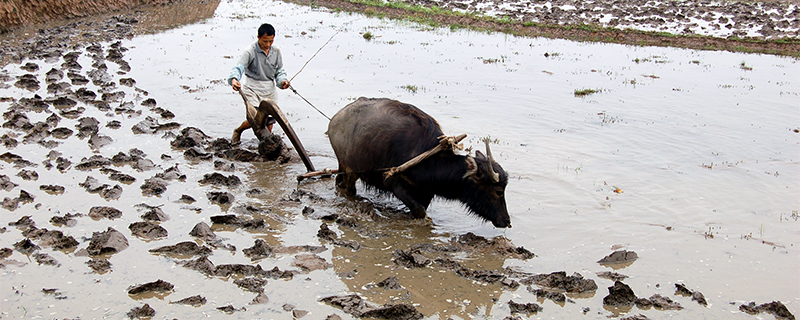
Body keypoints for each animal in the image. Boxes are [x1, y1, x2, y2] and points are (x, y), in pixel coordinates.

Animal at [326, 97, 510, 228]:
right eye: (498, 191)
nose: (507, 221)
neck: (429, 160)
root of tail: (335, 119)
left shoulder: (427, 191)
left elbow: (421, 208)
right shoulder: (394, 183)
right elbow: (420, 211)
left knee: (339, 182)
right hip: (350, 169)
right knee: (349, 189)